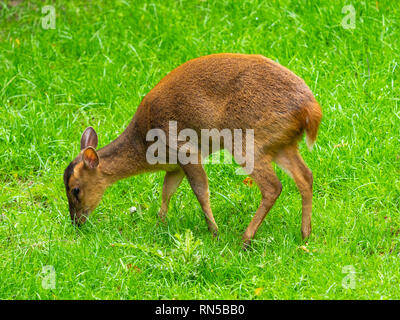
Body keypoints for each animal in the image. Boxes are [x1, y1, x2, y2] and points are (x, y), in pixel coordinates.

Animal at [65, 52, 322, 249]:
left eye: (75, 189)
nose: (76, 222)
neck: (148, 148)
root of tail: (311, 110)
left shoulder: (186, 150)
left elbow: (200, 191)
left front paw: (214, 232)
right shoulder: (174, 166)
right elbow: (166, 191)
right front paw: (159, 224)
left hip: (246, 141)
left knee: (273, 187)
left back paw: (245, 240)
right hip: (280, 143)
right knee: (305, 176)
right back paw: (305, 234)